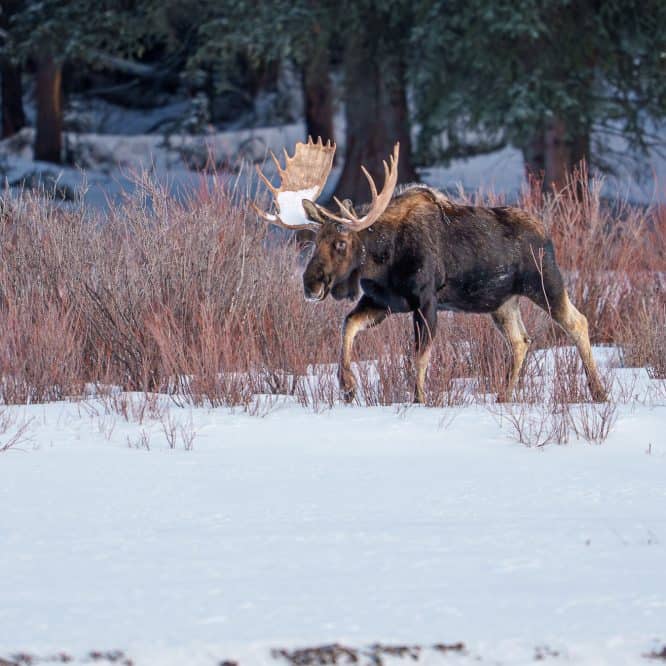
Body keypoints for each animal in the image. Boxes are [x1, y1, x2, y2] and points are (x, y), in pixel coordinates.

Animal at [252, 136, 606, 404]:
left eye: (341, 242)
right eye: (314, 241)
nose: (310, 284)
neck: (383, 262)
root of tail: (547, 233)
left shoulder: (425, 300)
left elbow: (419, 356)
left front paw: (419, 399)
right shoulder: (382, 302)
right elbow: (348, 326)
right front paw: (348, 386)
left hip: (544, 282)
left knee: (577, 321)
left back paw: (599, 391)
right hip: (502, 302)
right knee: (521, 340)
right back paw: (504, 395)